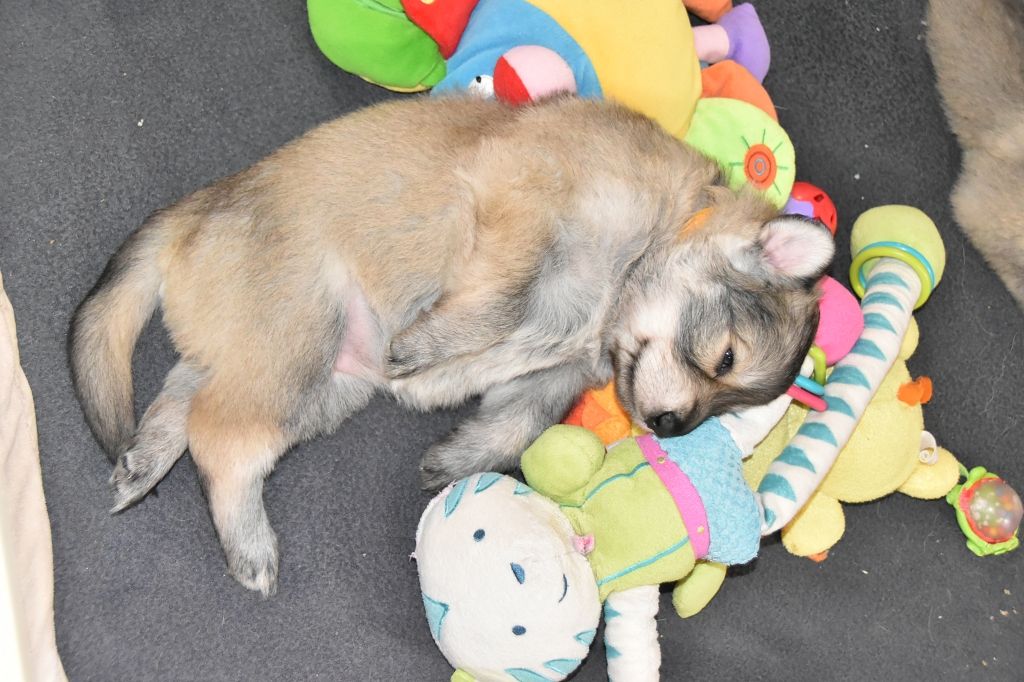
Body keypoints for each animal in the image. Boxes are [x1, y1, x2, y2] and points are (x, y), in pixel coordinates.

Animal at [70, 95, 834, 595]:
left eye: (729, 404)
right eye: (722, 360)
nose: (670, 427)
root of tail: (191, 214)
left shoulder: (550, 377)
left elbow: (514, 427)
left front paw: (454, 459)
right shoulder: (528, 208)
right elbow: (504, 300)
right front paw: (427, 347)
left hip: (309, 377)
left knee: (184, 397)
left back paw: (143, 461)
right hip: (300, 347)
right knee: (222, 439)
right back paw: (250, 546)